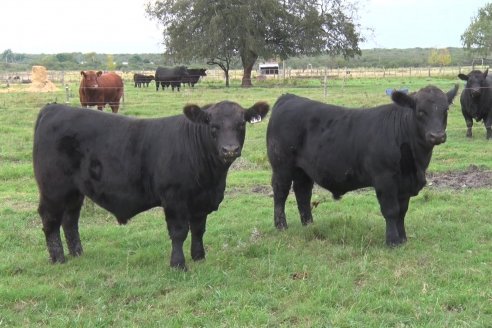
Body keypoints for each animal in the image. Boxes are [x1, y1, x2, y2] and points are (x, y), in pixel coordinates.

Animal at [32, 100, 270, 270]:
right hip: (53, 188)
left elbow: (198, 230)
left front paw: (199, 257)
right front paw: (178, 264)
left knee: (70, 220)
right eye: (213, 126)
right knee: (50, 220)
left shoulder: (200, 201)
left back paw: (77, 253)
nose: (230, 149)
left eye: (241, 124)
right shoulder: (174, 199)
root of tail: (54, 108)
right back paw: (58, 258)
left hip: (74, 192)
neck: (212, 179)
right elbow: (179, 232)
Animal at [268, 86, 460, 247]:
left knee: (302, 193)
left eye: (446, 110)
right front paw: (392, 241)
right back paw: (281, 225)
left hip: (303, 170)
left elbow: (402, 211)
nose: (437, 135)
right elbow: (391, 211)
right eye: (420, 111)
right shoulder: (384, 179)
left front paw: (403, 238)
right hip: (281, 166)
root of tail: (288, 97)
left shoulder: (404, 184)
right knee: (281, 192)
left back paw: (308, 224)